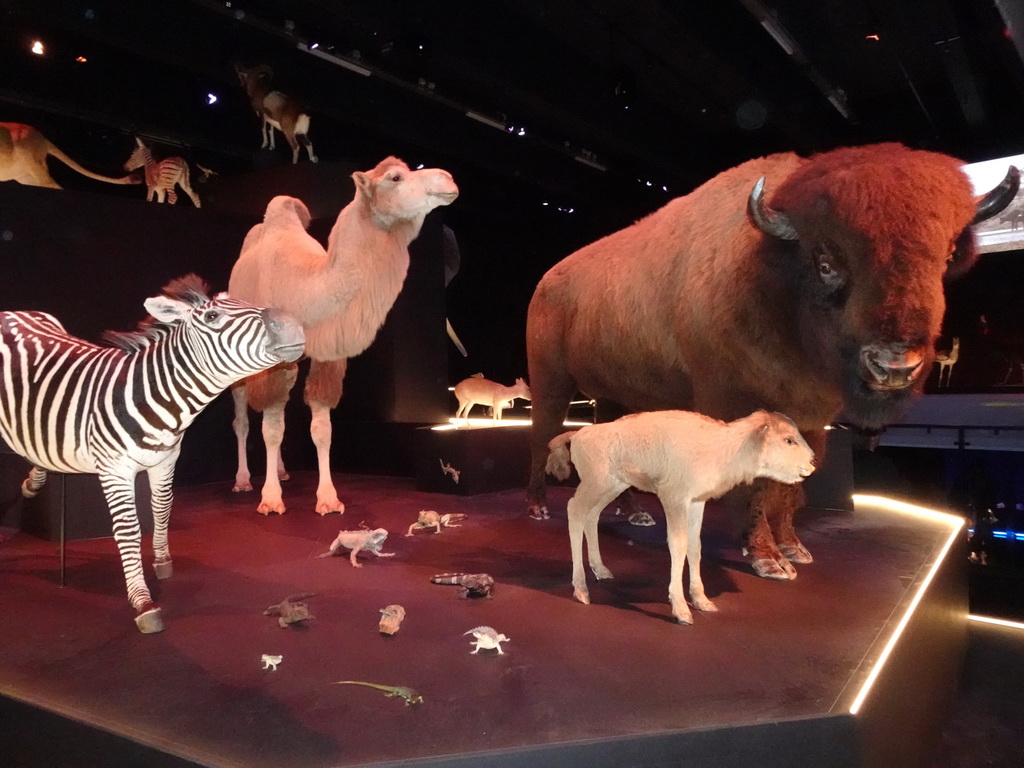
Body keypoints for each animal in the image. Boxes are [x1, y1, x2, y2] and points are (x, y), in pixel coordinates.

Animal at [0, 274, 303, 630]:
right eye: (213, 316)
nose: (294, 325)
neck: (157, 399)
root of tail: (12, 312)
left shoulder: (165, 461)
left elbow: (162, 508)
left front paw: (161, 560)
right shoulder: (115, 471)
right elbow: (129, 530)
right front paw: (143, 601)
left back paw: (33, 480)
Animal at [232, 156, 460, 514]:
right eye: (395, 177)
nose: (448, 179)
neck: (307, 290)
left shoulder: (328, 353)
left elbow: (321, 428)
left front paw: (328, 498)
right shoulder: (273, 360)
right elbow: (271, 429)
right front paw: (269, 499)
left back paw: (281, 471)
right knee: (243, 416)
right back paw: (243, 480)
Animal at [524, 143, 1019, 577]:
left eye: (947, 255)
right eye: (825, 262)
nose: (894, 366)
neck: (770, 272)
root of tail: (547, 281)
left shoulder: (811, 421)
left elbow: (792, 485)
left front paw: (794, 548)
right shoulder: (738, 409)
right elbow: (757, 487)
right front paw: (767, 558)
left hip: (616, 397)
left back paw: (634, 515)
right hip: (550, 381)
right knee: (542, 434)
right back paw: (537, 506)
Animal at [544, 409, 815, 626]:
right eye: (789, 440)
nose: (812, 463)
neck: (724, 445)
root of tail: (580, 434)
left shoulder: (696, 503)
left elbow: (695, 547)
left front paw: (702, 600)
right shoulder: (674, 499)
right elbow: (678, 545)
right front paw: (681, 610)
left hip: (612, 487)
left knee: (592, 517)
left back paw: (601, 570)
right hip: (595, 485)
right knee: (574, 511)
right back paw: (581, 590)